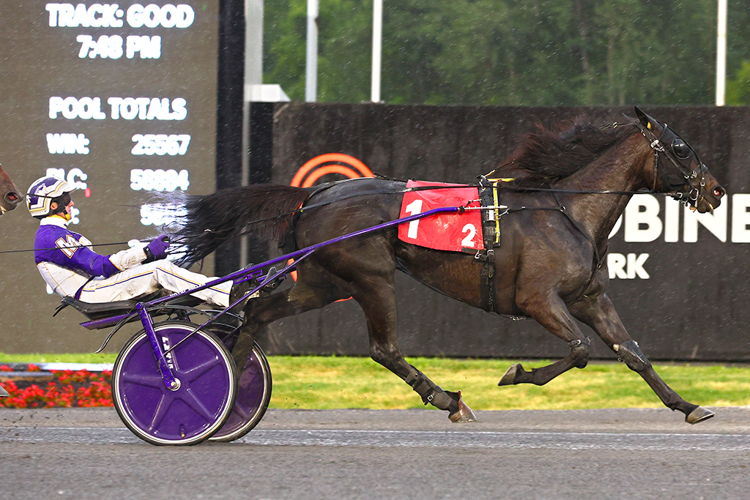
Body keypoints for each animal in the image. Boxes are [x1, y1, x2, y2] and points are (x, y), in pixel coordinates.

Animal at [172, 107, 728, 424]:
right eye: (681, 148)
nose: (718, 190)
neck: (567, 211)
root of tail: (315, 194)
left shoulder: (588, 297)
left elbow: (632, 353)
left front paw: (688, 406)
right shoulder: (538, 299)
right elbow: (579, 350)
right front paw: (516, 373)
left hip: (323, 281)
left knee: (256, 312)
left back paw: (227, 395)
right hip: (371, 276)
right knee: (384, 349)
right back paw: (447, 399)